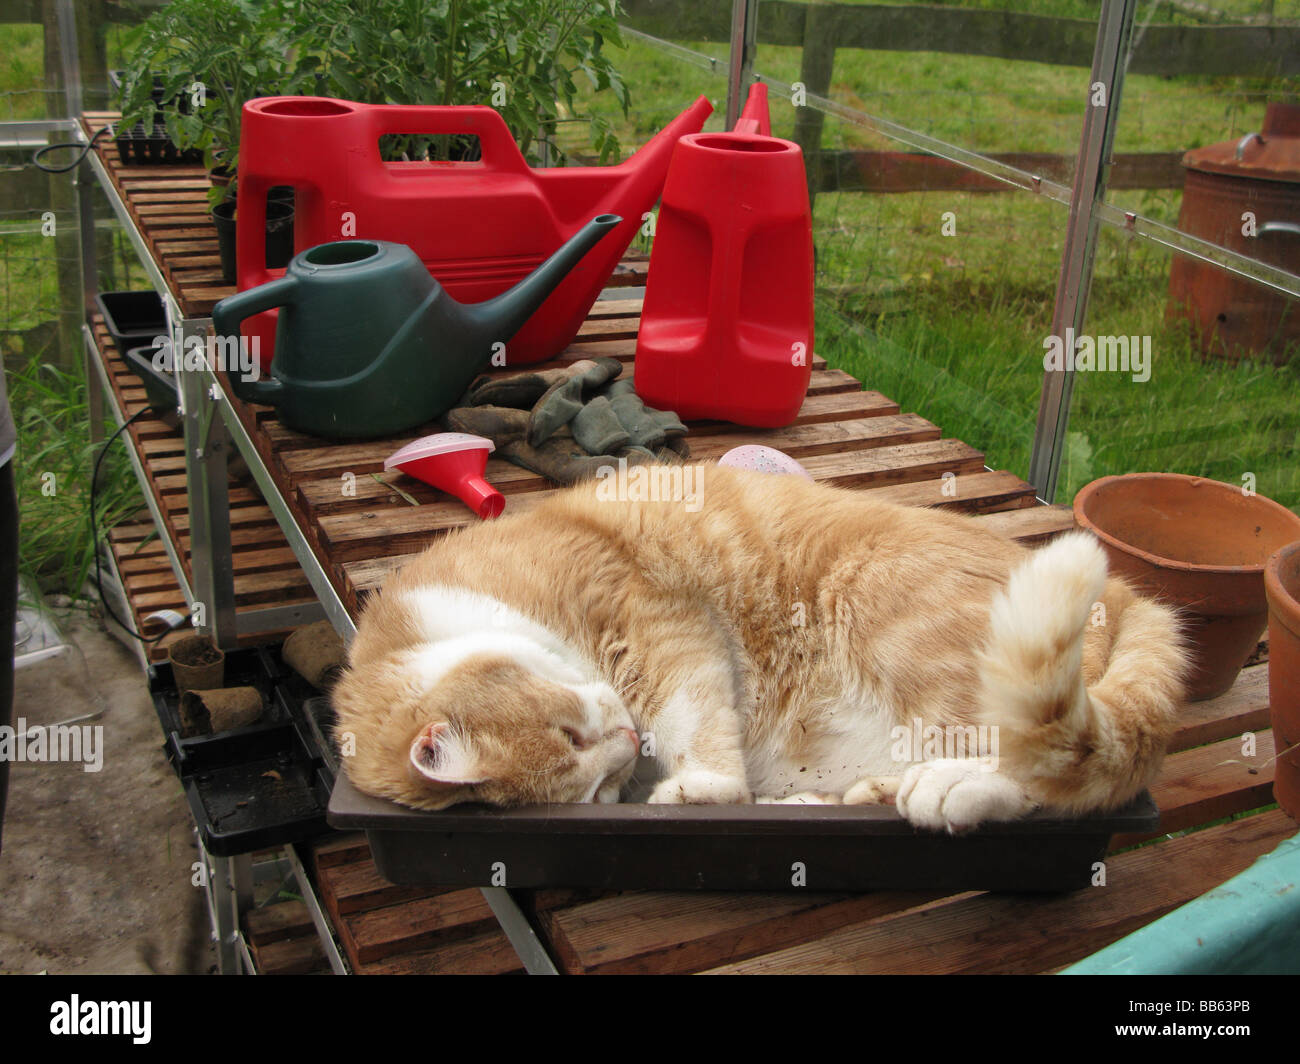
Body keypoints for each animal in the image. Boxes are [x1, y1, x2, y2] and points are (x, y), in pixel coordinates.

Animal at [330, 463, 1185, 827]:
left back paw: (954, 792)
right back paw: (865, 795)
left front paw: (701, 787)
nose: (627, 745)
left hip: (891, 612)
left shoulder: (652, 616)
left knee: (1037, 762)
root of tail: (1126, 595)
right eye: (598, 798)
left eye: (570, 734)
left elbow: (695, 716)